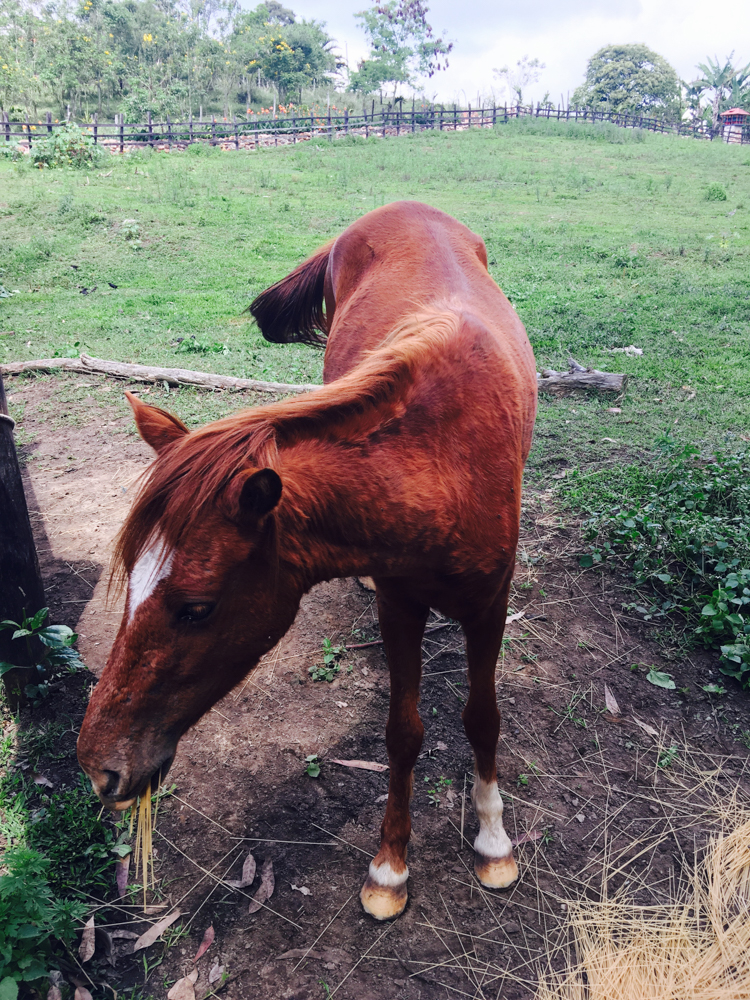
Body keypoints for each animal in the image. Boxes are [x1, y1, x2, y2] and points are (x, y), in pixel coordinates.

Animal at [76, 199, 536, 916]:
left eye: (196, 608)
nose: (99, 764)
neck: (445, 461)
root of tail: (403, 206)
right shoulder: (399, 604)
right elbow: (403, 732)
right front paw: (390, 867)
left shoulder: (490, 605)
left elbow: (482, 718)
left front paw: (493, 842)